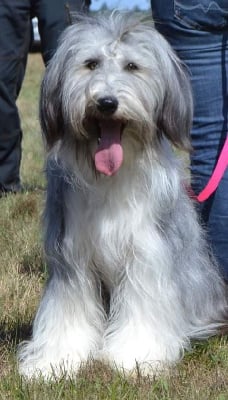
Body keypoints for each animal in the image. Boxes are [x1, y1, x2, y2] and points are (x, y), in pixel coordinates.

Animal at [18, 10, 226, 376]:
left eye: (132, 66)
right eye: (90, 64)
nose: (106, 102)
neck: (109, 178)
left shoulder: (146, 252)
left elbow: (143, 306)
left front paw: (135, 358)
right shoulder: (71, 257)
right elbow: (68, 310)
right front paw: (55, 362)